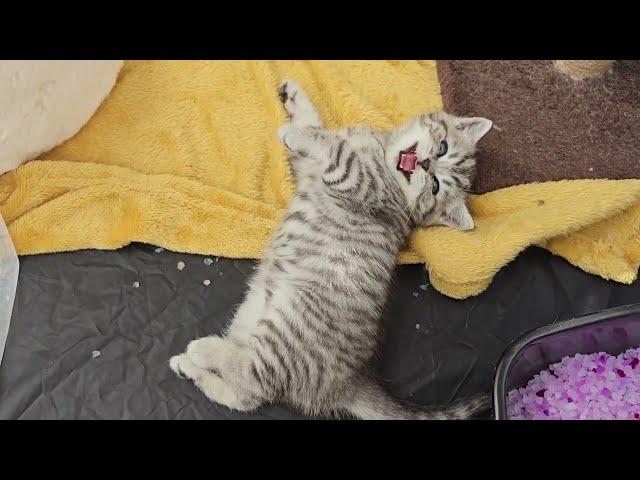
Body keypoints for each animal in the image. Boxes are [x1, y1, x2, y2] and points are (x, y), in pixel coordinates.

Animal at [168, 80, 492, 418]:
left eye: (435, 188)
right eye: (442, 148)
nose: (426, 164)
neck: (382, 152)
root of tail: (350, 383)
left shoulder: (357, 181)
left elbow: (334, 147)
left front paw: (293, 132)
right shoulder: (309, 167)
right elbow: (316, 125)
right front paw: (294, 97)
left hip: (287, 333)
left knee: (252, 376)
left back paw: (202, 351)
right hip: (251, 315)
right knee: (248, 396)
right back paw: (188, 367)